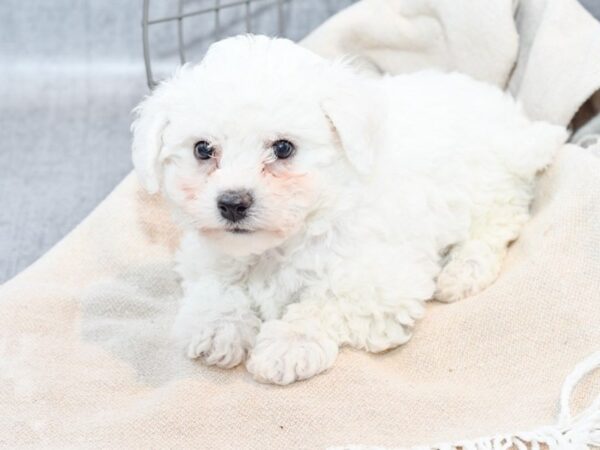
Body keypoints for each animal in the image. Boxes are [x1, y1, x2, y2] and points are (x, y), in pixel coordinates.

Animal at [131, 36, 568, 386]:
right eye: (202, 149)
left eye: (283, 148)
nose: (233, 203)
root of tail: (515, 122)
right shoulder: (204, 258)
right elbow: (215, 290)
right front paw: (218, 328)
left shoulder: (383, 283)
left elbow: (325, 301)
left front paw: (288, 344)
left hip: (489, 191)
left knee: (495, 228)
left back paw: (463, 271)